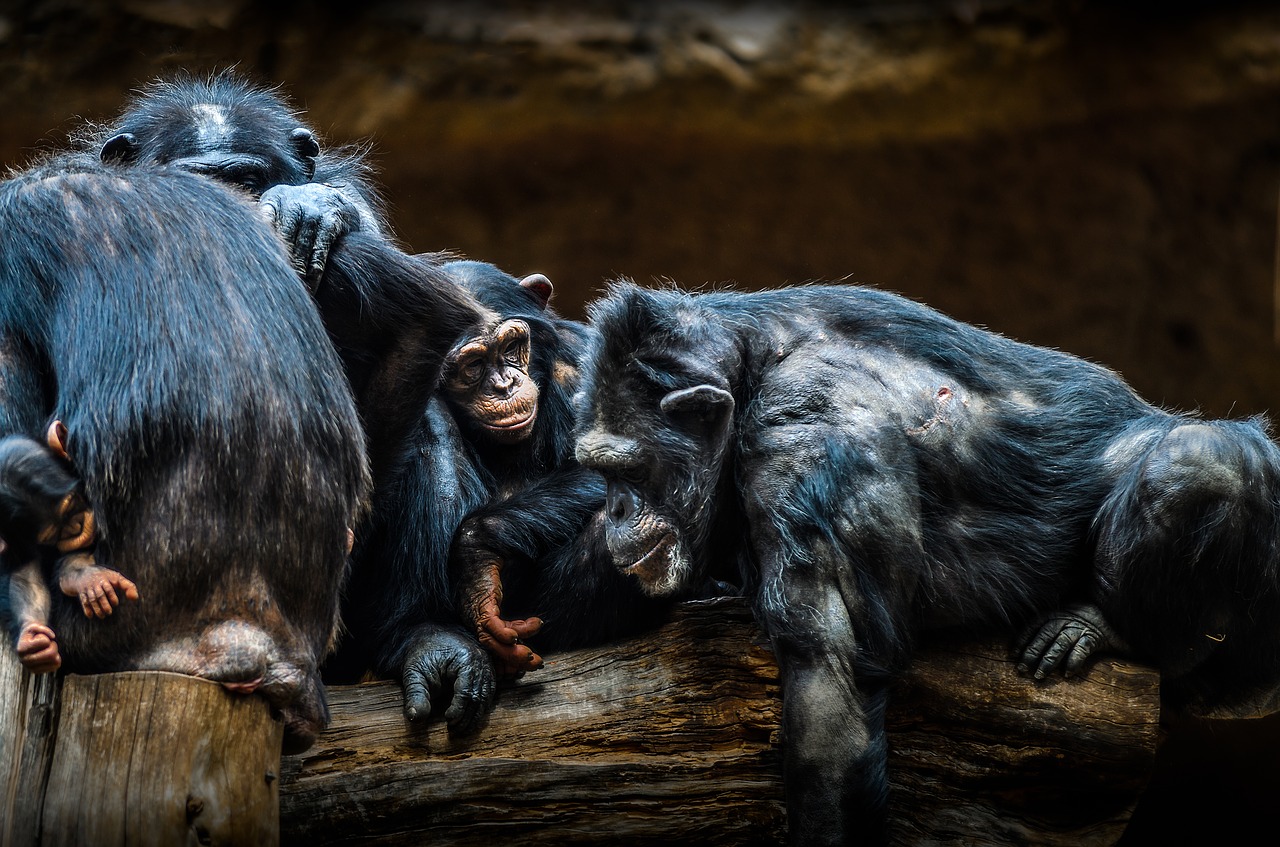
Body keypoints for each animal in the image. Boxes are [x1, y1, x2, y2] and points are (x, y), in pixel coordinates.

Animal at [335, 261, 665, 731]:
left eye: (511, 347)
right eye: (473, 366)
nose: (505, 384)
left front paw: (477, 553)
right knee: (430, 418)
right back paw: (427, 638)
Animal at [576, 281, 1280, 844]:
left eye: (627, 468)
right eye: (597, 469)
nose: (612, 510)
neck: (750, 369)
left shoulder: (807, 432)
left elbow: (831, 680)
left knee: (1199, 458)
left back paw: (1101, 628)